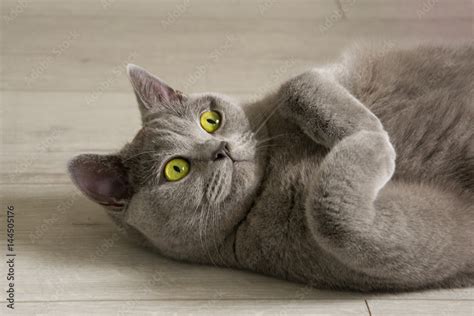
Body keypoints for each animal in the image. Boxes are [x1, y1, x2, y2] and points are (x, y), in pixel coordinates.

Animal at [68, 43, 472, 292]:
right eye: (176, 169)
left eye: (210, 121)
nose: (221, 149)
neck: (271, 174)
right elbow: (335, 218)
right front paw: (379, 140)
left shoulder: (316, 79)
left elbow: (298, 82)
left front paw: (371, 126)